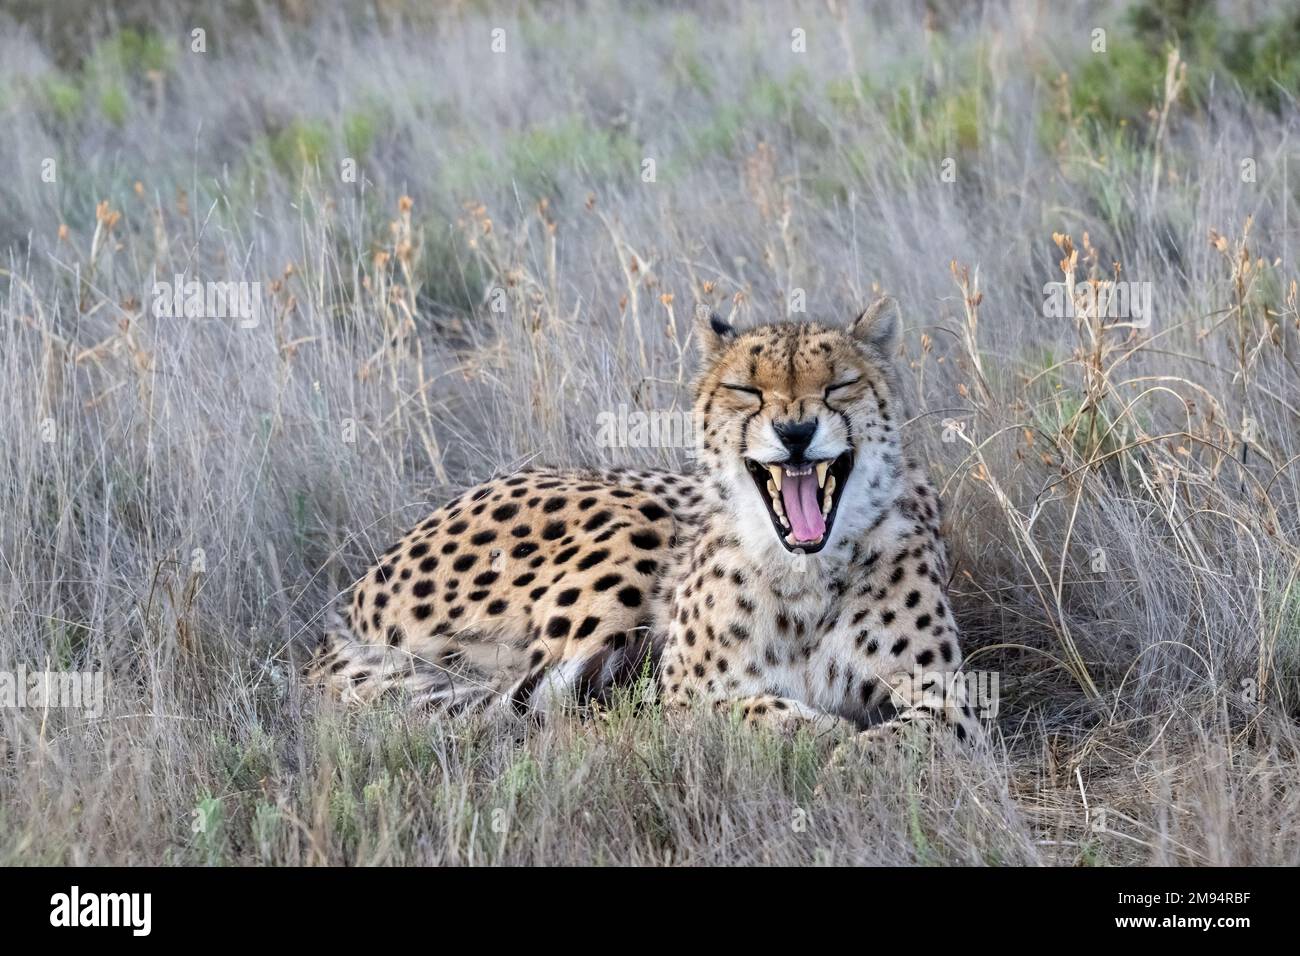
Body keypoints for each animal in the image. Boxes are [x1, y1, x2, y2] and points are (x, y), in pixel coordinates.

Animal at [309, 297, 981, 744]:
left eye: (840, 385)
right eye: (746, 390)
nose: (796, 432)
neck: (804, 574)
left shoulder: (949, 699)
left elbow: (907, 737)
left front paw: (850, 749)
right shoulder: (685, 694)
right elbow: (754, 711)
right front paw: (825, 736)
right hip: (633, 526)